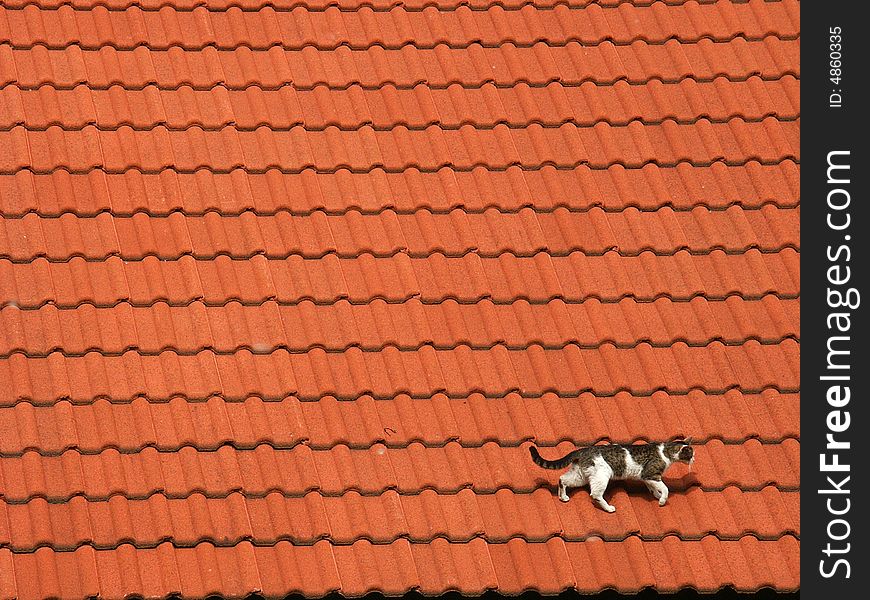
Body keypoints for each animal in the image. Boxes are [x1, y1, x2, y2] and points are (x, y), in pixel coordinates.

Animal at [532, 438, 696, 512]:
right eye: (691, 454)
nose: (694, 459)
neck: (666, 452)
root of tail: (583, 450)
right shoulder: (651, 474)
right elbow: (665, 488)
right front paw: (662, 500)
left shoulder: (646, 477)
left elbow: (653, 488)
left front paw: (656, 495)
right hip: (601, 476)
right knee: (595, 494)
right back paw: (608, 508)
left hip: (580, 476)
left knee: (562, 479)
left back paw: (563, 497)